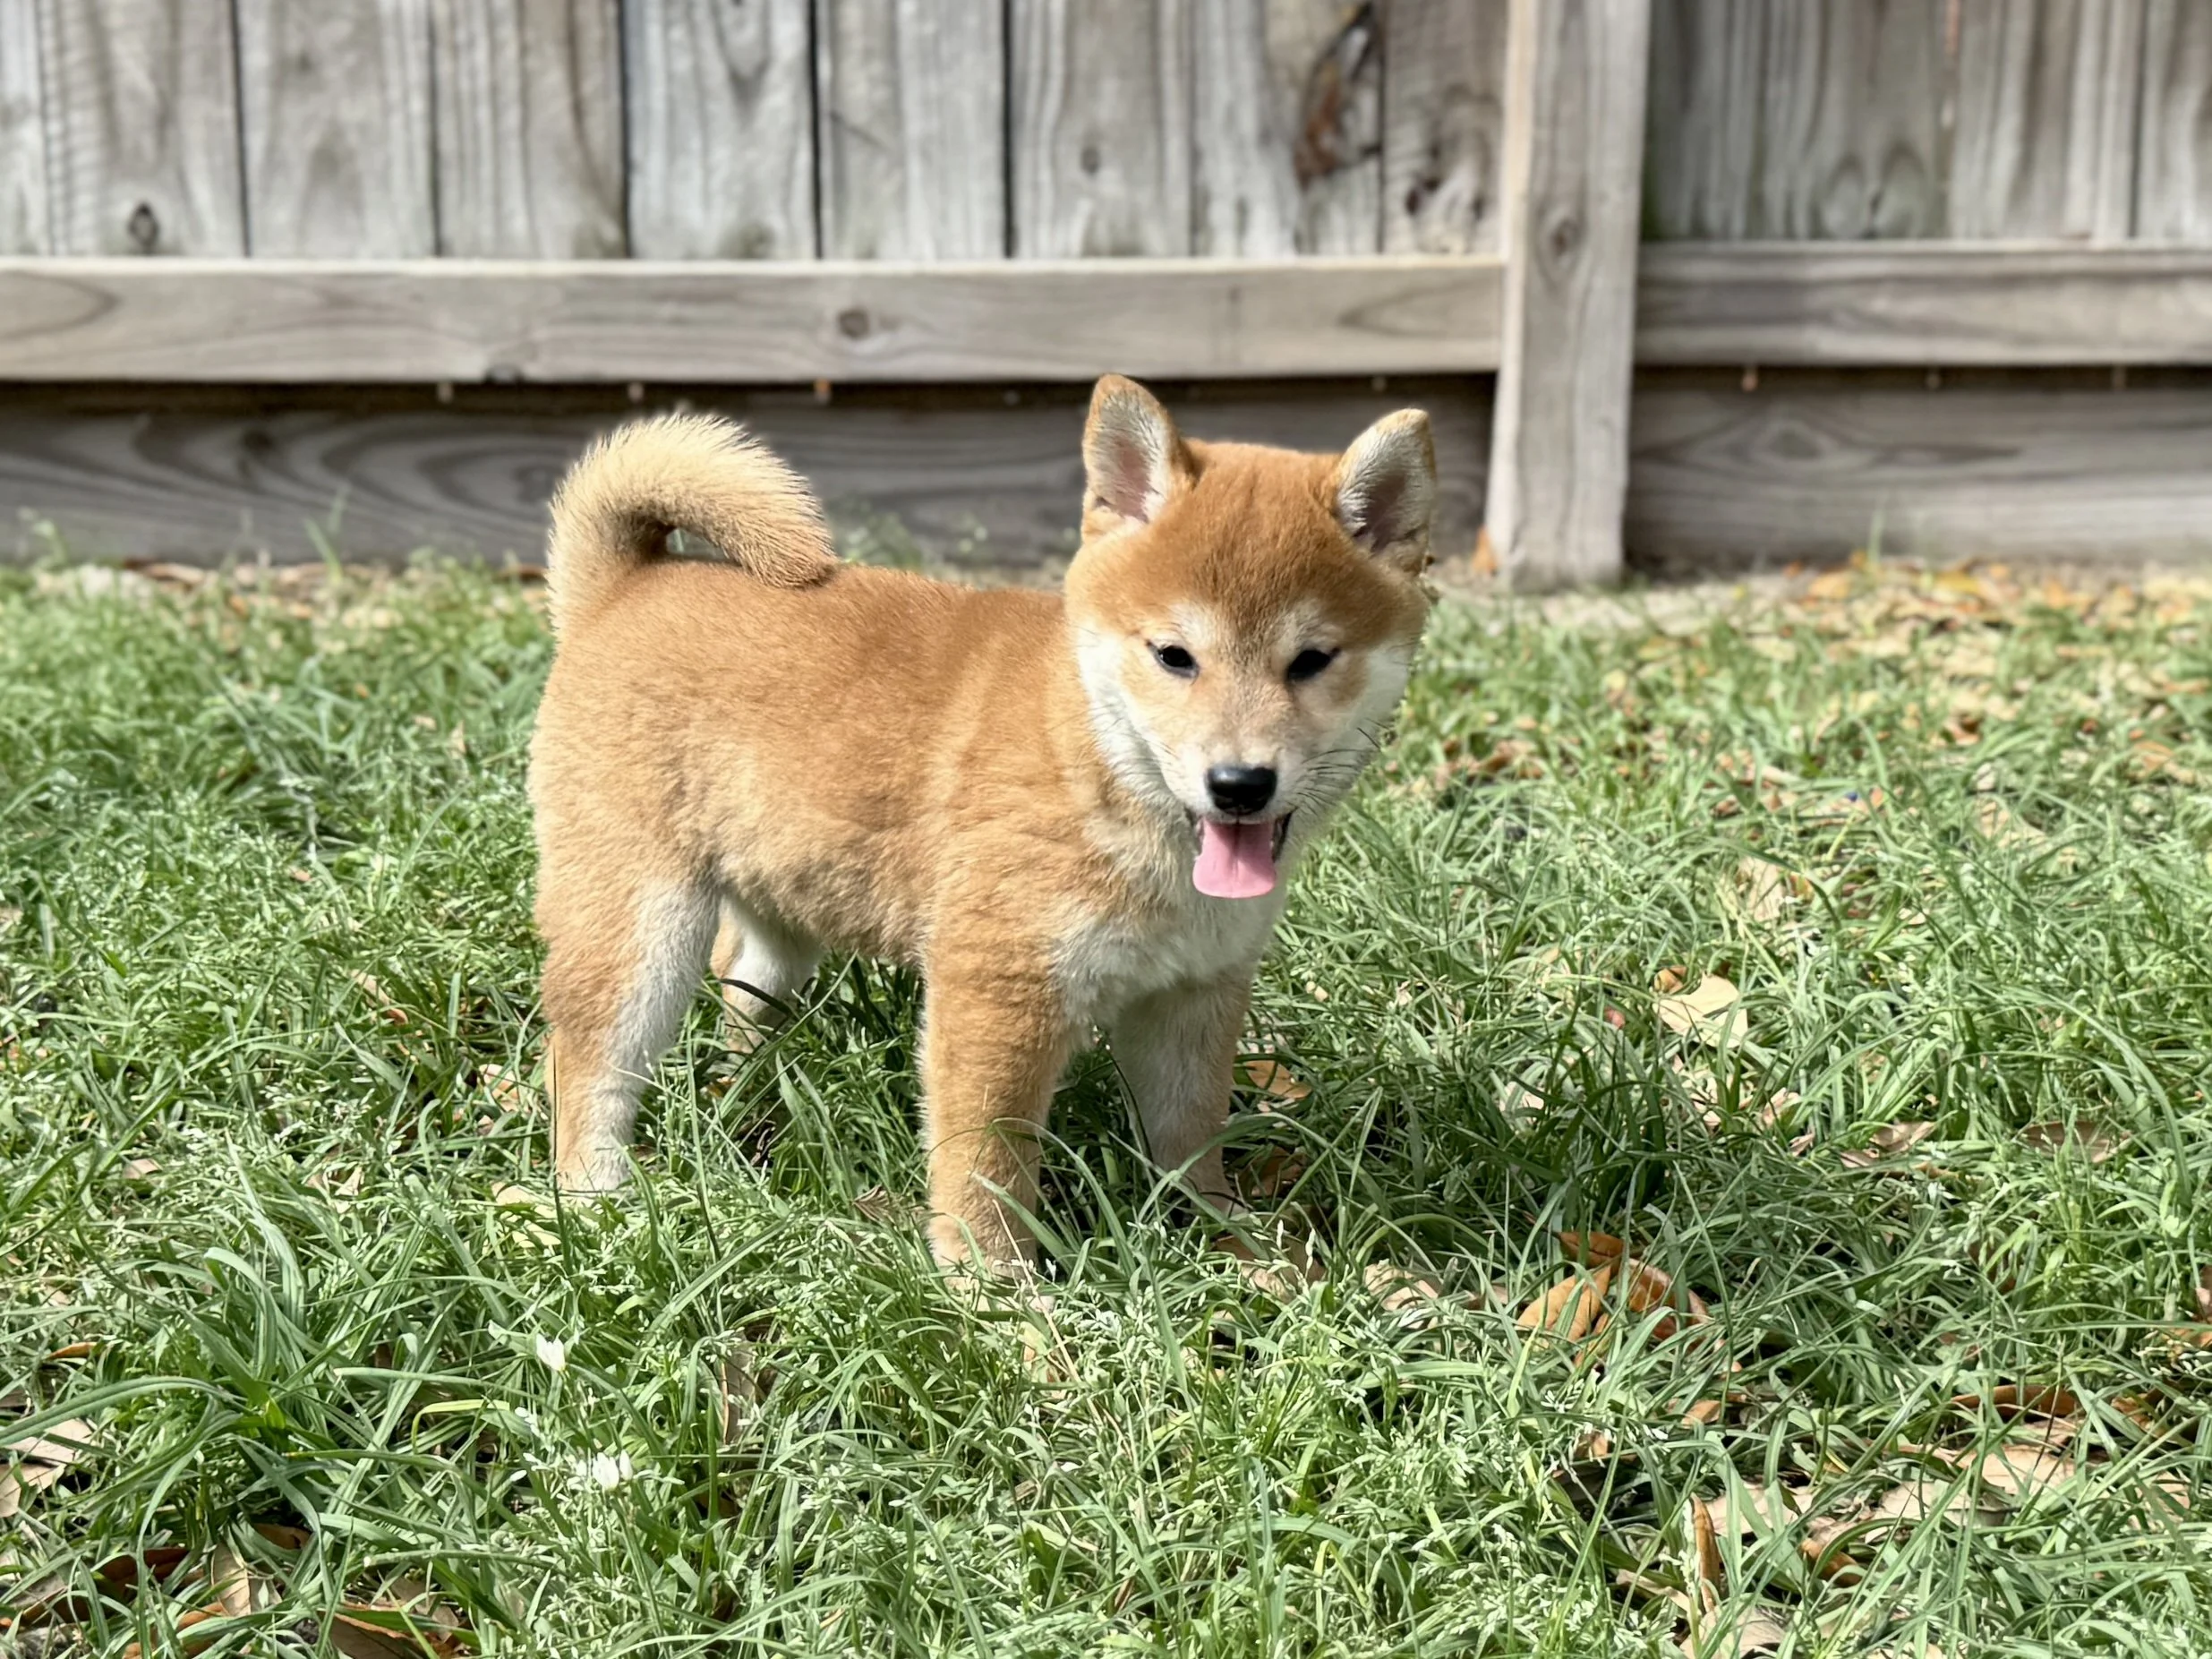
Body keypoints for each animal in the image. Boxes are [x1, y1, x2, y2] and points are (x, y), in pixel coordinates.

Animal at [529, 374, 1436, 1268]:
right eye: (1174, 656)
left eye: (1311, 660)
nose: (1239, 784)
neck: (1095, 766)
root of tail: (624, 589)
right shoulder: (998, 988)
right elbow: (987, 1167)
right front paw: (994, 1289)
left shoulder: (1193, 994)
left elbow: (1191, 1140)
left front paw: (1231, 1249)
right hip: (640, 925)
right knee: (585, 1063)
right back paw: (595, 1202)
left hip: (782, 904)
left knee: (740, 983)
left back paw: (751, 1096)